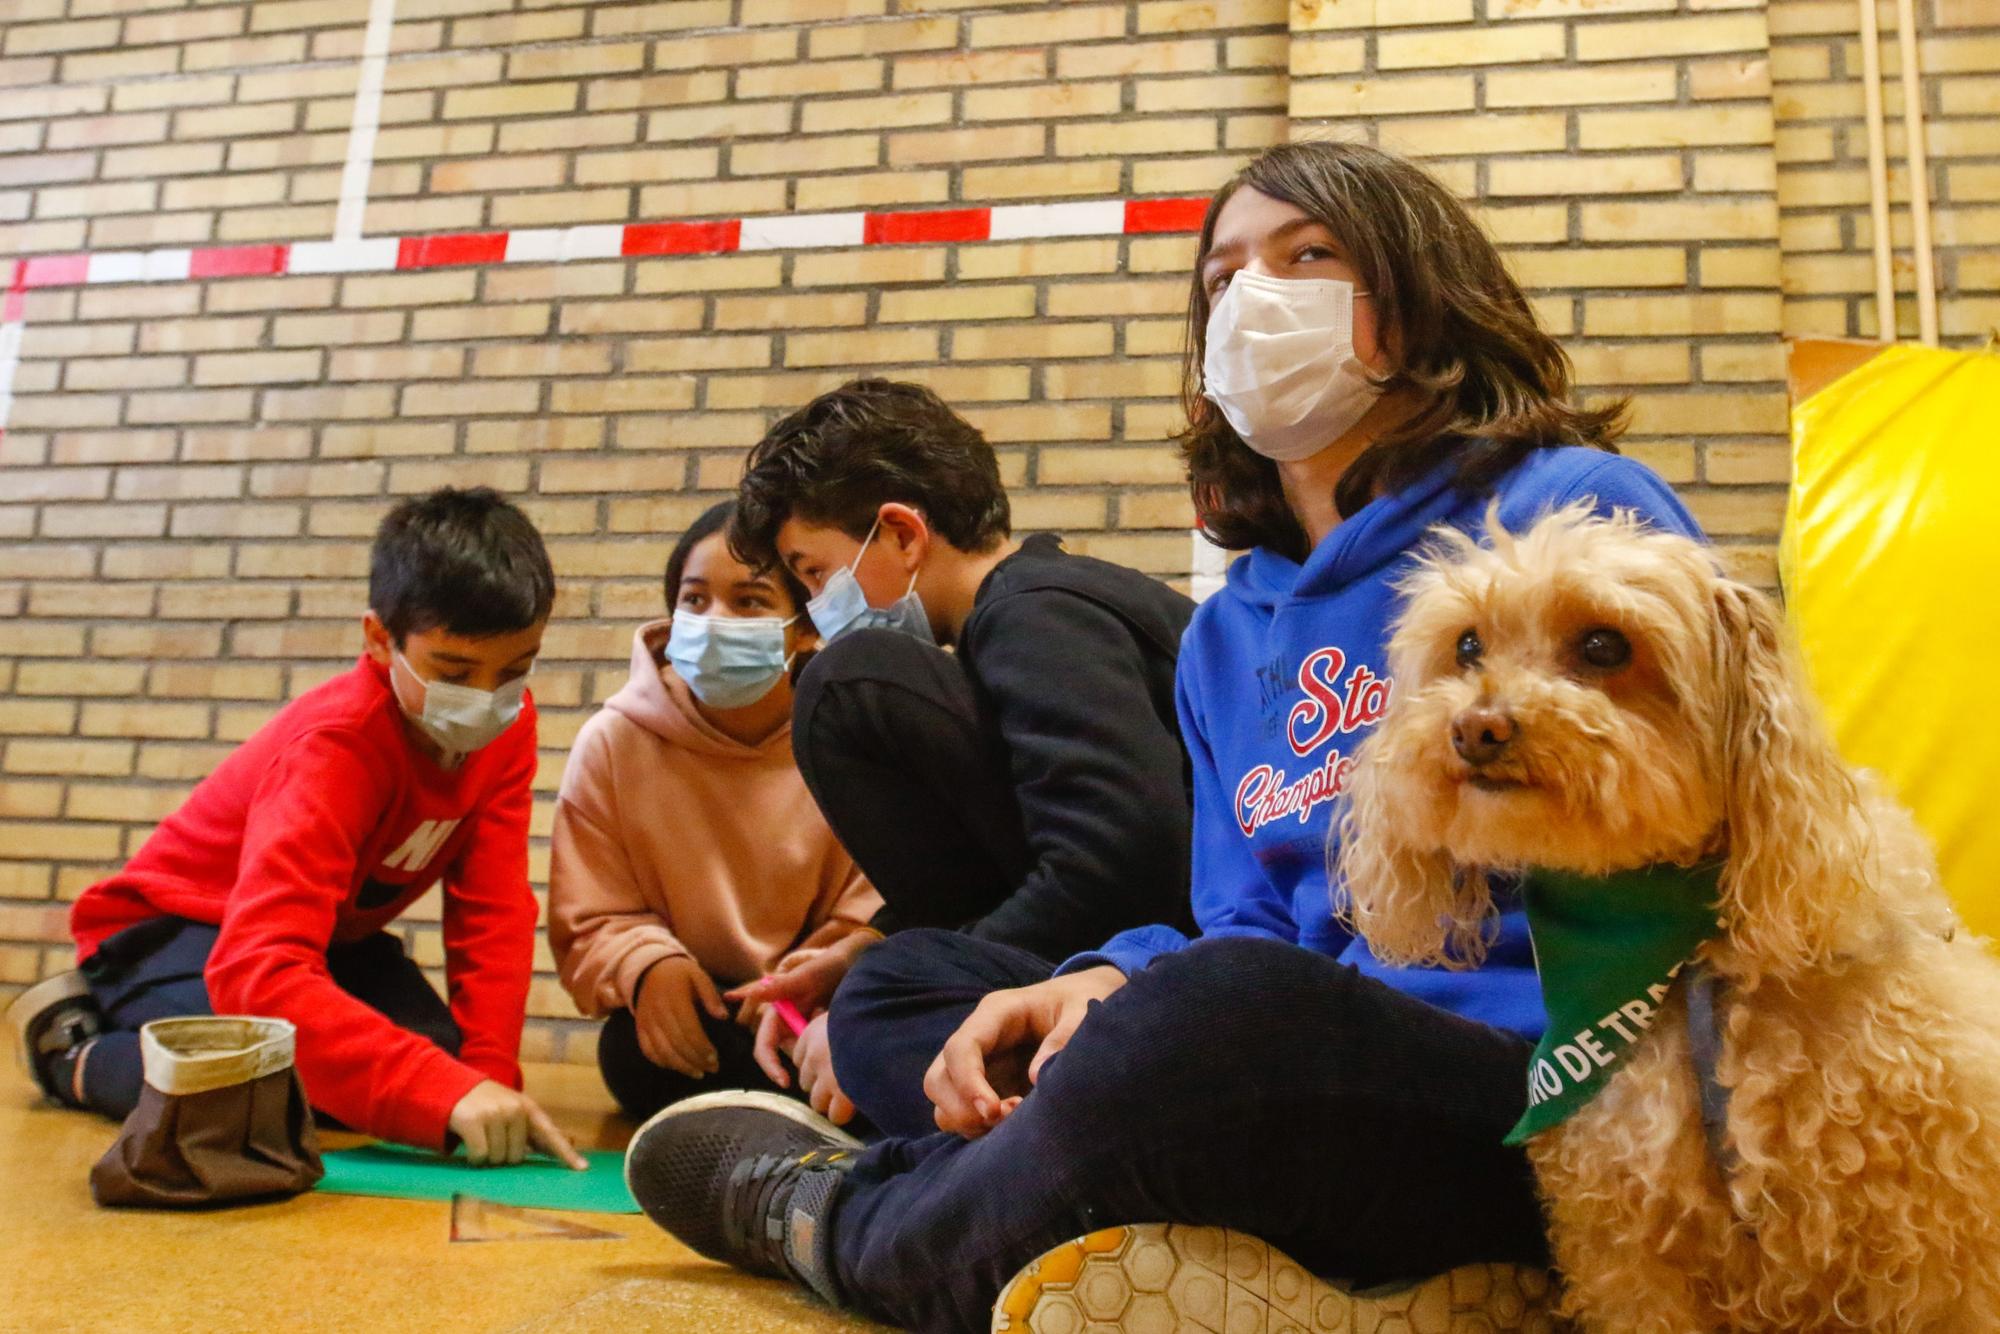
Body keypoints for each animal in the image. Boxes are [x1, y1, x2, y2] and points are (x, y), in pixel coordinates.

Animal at [1336, 506, 2000, 1328]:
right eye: (1467, 646)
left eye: (1604, 646)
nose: (1476, 728)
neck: (1688, 963)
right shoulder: (1631, 1250)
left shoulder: (1940, 1246)